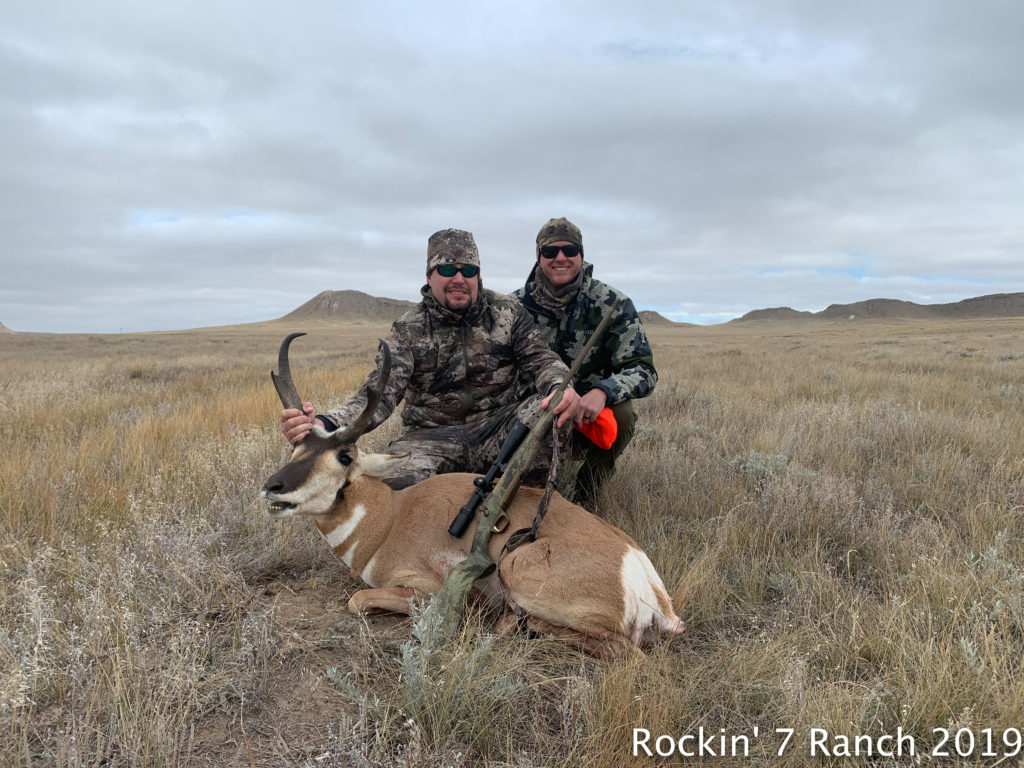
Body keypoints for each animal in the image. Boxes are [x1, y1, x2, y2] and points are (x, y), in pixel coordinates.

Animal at [260, 335, 684, 663]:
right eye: (297, 446)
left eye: (344, 457)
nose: (272, 487)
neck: (389, 518)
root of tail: (642, 576)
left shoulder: (424, 588)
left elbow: (358, 600)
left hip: (515, 564)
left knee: (628, 654)